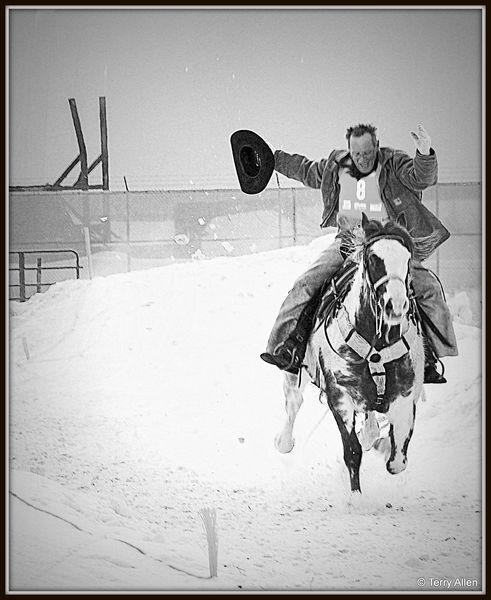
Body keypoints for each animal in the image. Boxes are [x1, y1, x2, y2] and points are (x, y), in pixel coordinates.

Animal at [274, 214, 424, 492]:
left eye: (407, 258)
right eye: (374, 259)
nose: (396, 305)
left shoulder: (406, 396)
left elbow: (398, 460)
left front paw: (383, 446)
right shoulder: (340, 396)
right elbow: (352, 452)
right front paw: (356, 497)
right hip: (294, 372)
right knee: (293, 402)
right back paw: (284, 441)